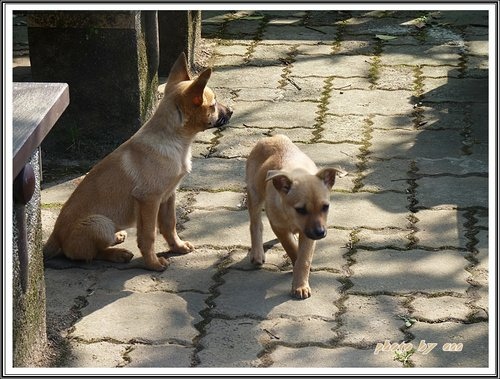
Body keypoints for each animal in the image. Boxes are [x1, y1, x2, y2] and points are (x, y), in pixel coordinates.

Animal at [42, 54, 232, 274]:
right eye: (213, 105)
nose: (232, 111)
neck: (174, 140)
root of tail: (54, 238)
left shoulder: (168, 196)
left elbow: (169, 225)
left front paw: (177, 247)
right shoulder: (149, 200)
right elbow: (148, 236)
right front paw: (153, 264)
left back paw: (117, 238)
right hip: (100, 223)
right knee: (88, 255)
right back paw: (117, 254)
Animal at [244, 136, 346, 300]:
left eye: (325, 207)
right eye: (301, 210)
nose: (320, 233)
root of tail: (272, 137)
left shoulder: (308, 234)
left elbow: (304, 258)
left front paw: (300, 285)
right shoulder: (279, 227)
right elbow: (291, 248)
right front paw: (298, 273)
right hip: (254, 194)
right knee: (255, 224)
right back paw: (257, 253)